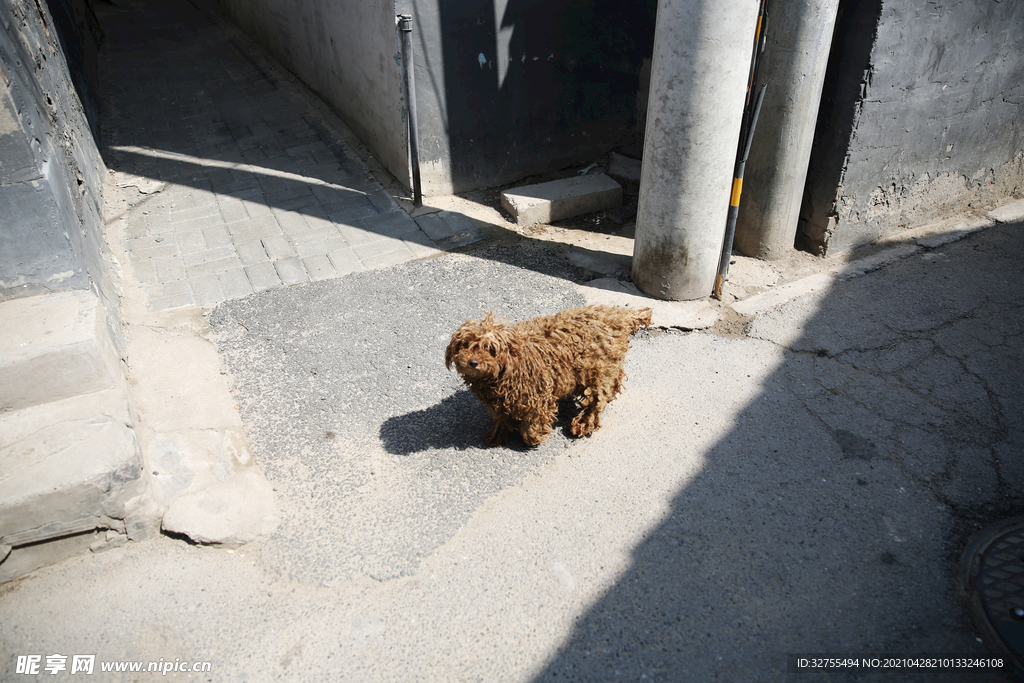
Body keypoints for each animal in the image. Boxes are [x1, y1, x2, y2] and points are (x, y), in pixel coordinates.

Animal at [444, 305, 651, 448]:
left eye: (489, 348)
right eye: (465, 344)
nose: (472, 362)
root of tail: (616, 315)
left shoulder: (537, 396)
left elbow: (532, 424)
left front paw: (534, 436)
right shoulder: (500, 400)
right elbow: (502, 417)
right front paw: (497, 434)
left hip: (597, 370)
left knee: (596, 400)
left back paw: (583, 423)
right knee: (615, 380)